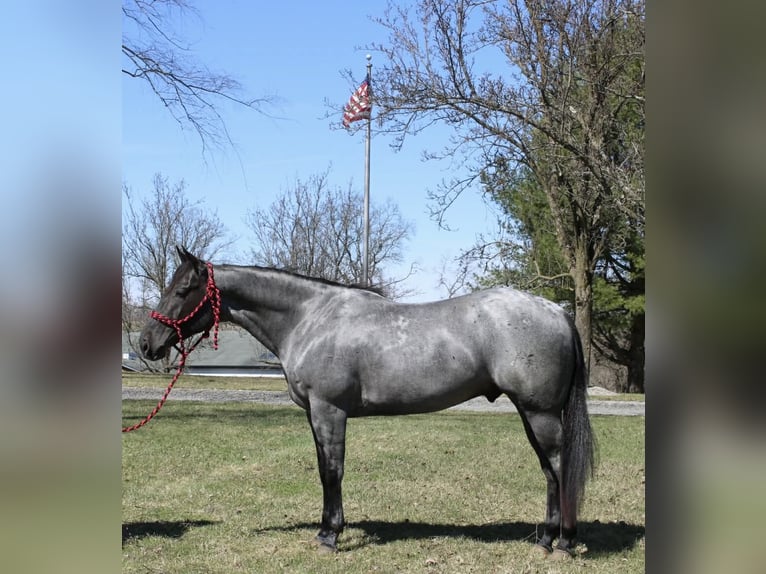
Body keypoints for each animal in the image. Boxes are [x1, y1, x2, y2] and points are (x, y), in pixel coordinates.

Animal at [138, 246, 595, 557]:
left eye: (183, 289)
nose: (147, 343)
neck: (309, 318)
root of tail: (558, 311)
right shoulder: (317, 415)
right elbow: (325, 469)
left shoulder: (329, 411)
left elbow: (332, 472)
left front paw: (329, 535)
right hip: (532, 413)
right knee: (551, 471)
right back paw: (547, 538)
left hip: (539, 412)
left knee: (558, 467)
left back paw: (562, 542)